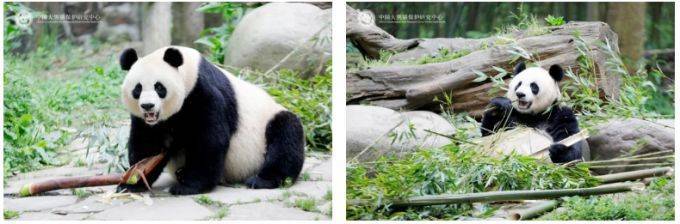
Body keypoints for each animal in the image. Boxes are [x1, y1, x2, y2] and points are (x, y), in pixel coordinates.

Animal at [117, 46, 306, 195]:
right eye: (137, 89)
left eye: (159, 87)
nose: (148, 106)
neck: (188, 70)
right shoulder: (149, 122)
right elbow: (148, 146)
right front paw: (132, 182)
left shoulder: (202, 92)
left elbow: (209, 140)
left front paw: (188, 187)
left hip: (266, 126)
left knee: (286, 135)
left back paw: (261, 180)